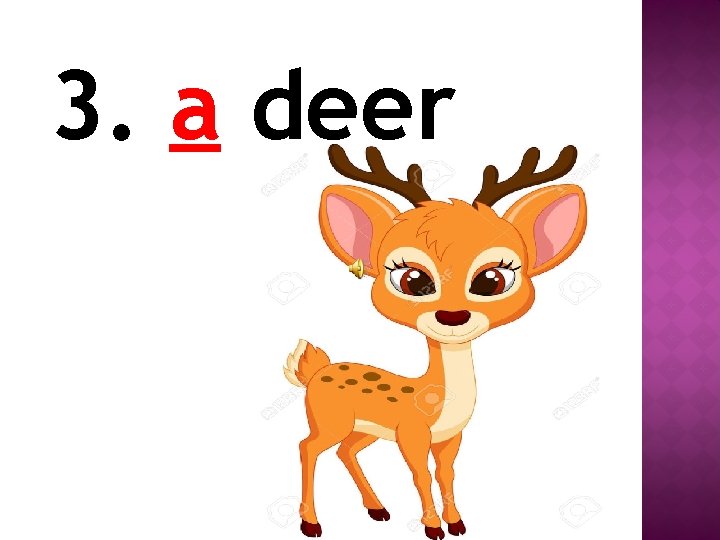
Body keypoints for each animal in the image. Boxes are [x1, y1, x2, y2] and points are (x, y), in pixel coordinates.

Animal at [283, 143, 587, 539]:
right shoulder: (411, 434)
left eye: (492, 280)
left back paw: (378, 509)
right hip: (329, 421)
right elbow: (421, 475)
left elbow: (446, 474)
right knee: (307, 447)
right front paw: (432, 527)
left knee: (344, 451)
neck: (437, 400)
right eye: (413, 280)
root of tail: (315, 372)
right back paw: (311, 523)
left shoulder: (448, 438)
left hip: (362, 430)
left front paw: (456, 522)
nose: (453, 316)